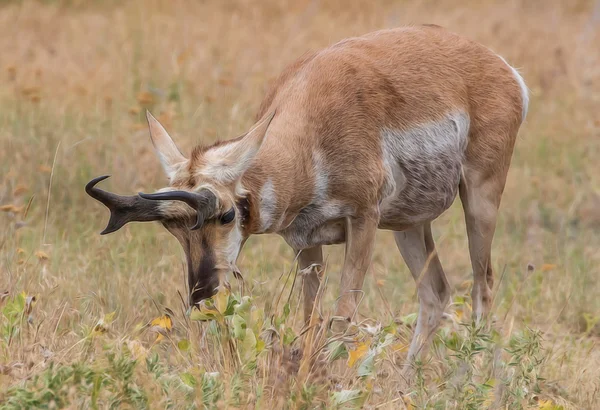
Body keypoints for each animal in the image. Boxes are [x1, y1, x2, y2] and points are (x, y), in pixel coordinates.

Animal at [86, 25, 528, 360]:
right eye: (173, 229)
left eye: (227, 214)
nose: (201, 292)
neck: (308, 131)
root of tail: (502, 67)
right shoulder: (304, 244)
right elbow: (310, 320)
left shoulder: (364, 221)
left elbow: (343, 315)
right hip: (407, 226)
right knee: (436, 294)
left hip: (479, 199)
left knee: (482, 287)